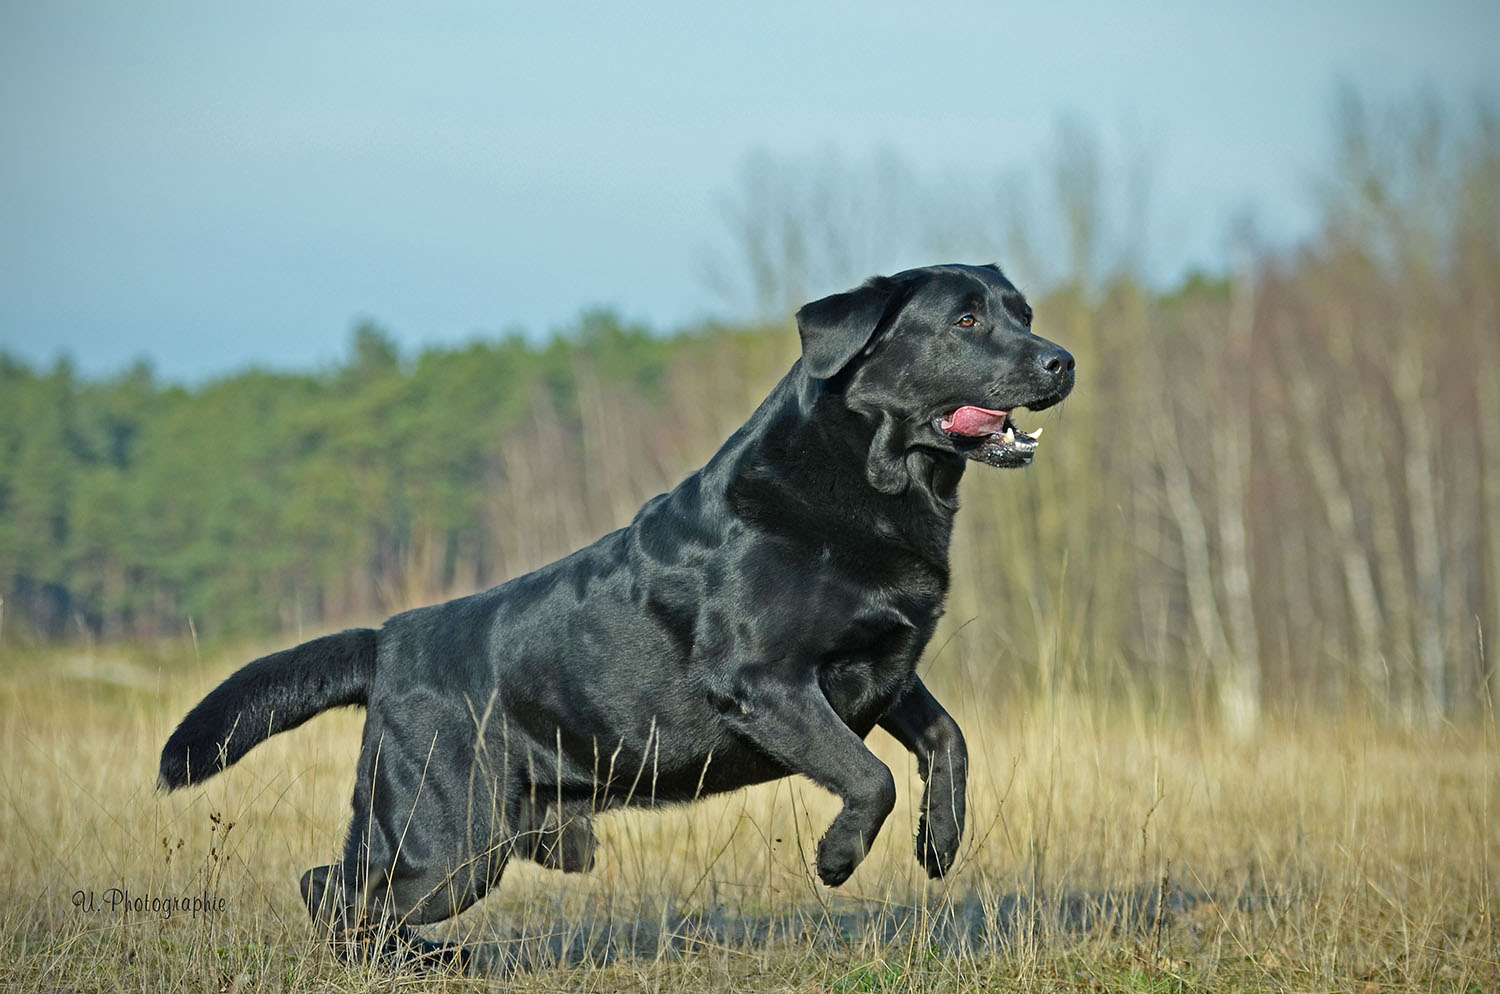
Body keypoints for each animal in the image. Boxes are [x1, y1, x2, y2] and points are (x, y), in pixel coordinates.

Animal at [161, 263, 1080, 971]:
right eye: (966, 319)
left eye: (1024, 313)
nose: (1063, 360)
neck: (872, 485)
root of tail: (389, 637)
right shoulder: (766, 683)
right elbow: (870, 775)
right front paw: (837, 857)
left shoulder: (887, 665)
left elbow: (948, 739)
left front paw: (941, 843)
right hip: (448, 836)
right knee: (338, 893)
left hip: (444, 836)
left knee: (342, 885)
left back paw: (427, 960)